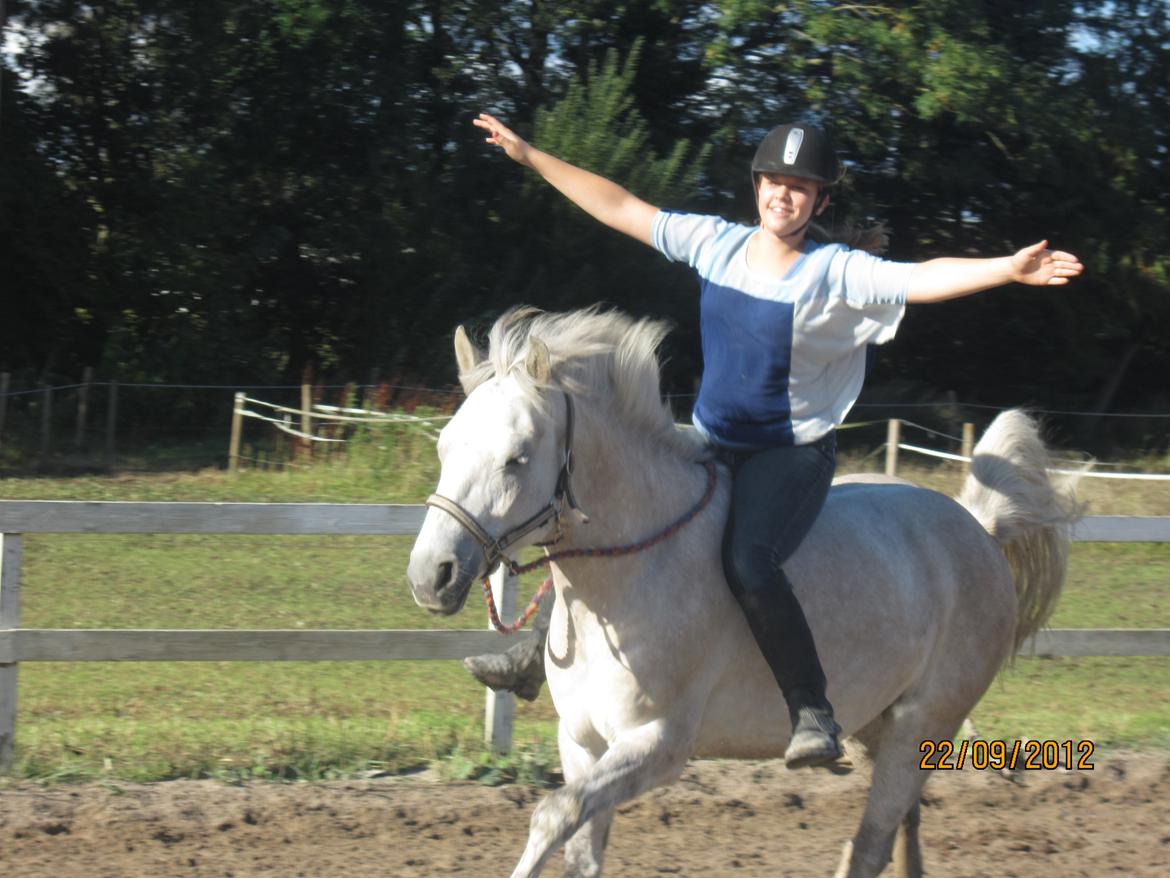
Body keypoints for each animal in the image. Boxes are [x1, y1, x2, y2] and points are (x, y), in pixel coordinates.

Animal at [407, 306, 1081, 878]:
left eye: (517, 458)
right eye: (445, 446)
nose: (430, 574)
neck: (630, 578)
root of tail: (979, 533)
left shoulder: (656, 745)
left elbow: (553, 816)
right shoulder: (582, 744)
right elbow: (580, 852)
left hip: (920, 728)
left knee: (870, 845)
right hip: (878, 725)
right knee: (903, 831)